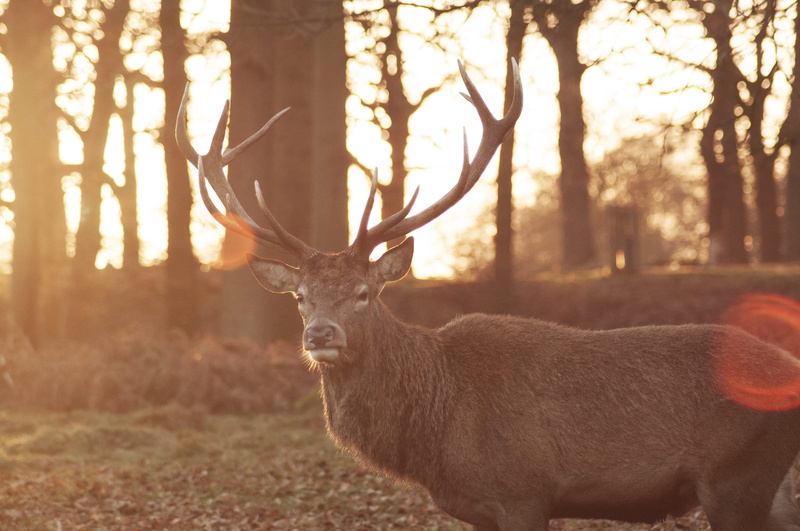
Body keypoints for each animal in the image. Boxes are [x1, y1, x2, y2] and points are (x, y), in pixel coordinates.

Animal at [177, 61, 800, 531]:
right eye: (301, 297)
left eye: (363, 293)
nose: (320, 335)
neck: (436, 437)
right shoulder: (478, 508)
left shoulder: (525, 491)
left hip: (736, 478)